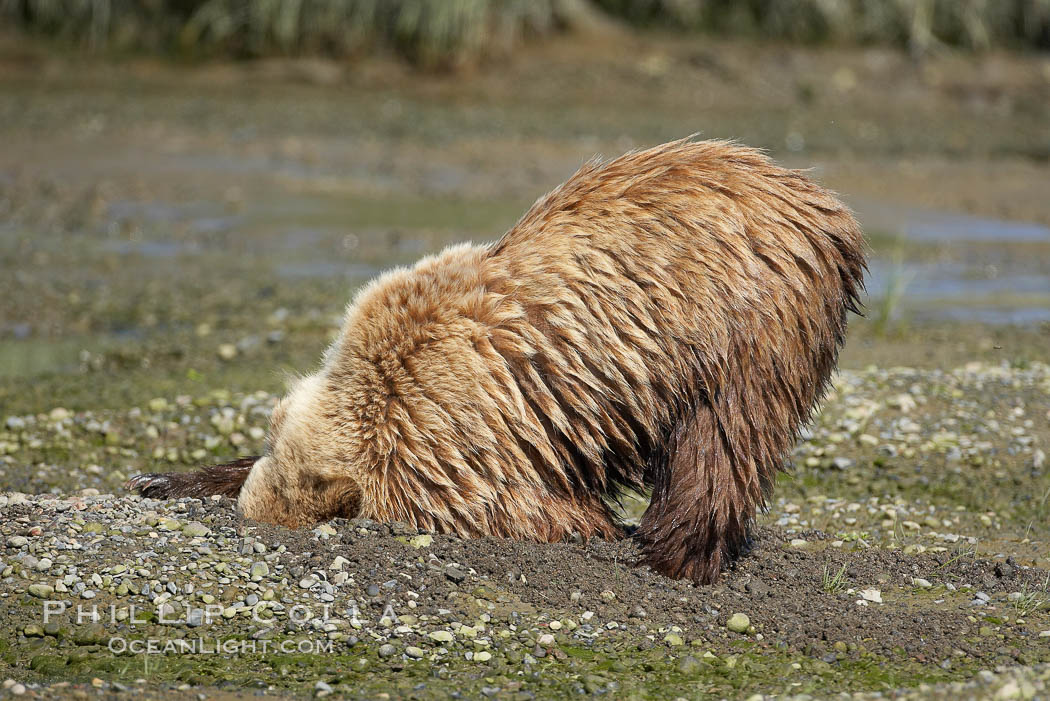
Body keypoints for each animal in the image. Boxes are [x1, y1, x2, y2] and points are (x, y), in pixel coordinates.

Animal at [129, 139, 860, 583]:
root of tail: (823, 205)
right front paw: (165, 477)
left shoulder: (456, 439)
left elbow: (529, 510)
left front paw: (597, 526)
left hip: (738, 325)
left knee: (720, 440)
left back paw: (670, 550)